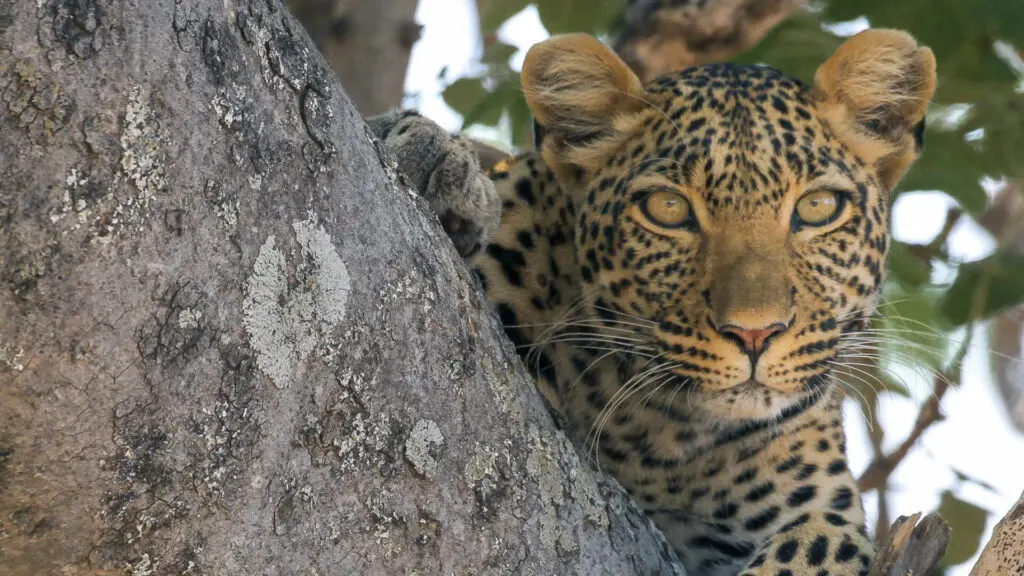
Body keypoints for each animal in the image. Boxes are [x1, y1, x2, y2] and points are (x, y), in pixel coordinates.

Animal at [367, 28, 937, 576]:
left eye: (818, 207)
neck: (660, 435)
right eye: (668, 208)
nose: (755, 333)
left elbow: (813, 550)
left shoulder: (824, 513)